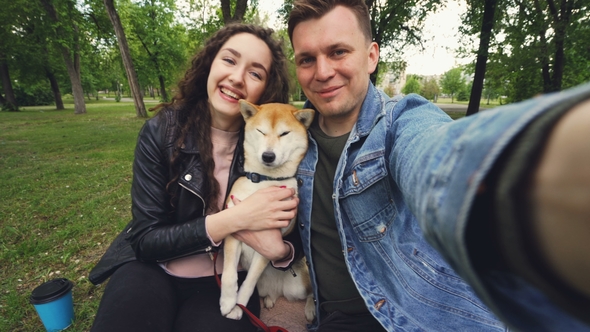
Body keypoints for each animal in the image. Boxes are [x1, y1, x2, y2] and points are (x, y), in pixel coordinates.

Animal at [220, 100, 316, 322]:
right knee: (268, 293)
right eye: (261, 131)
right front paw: (227, 301)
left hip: (300, 285)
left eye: (285, 133)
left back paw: (311, 310)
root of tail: (280, 290)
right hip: (264, 288)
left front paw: (238, 307)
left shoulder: (268, 244)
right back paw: (270, 300)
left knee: (310, 293)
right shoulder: (233, 227)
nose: (268, 155)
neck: (265, 182)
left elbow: (248, 284)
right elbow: (229, 274)